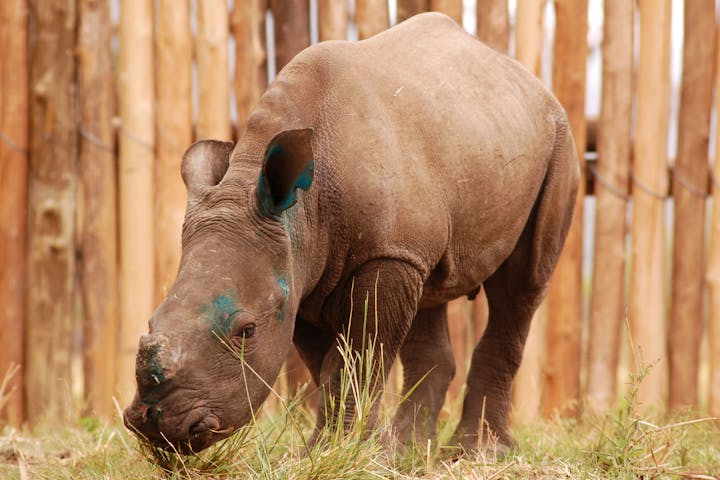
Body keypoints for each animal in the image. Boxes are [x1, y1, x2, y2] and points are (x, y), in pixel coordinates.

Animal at [124, 12, 580, 454]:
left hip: (559, 140)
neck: (302, 211)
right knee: (430, 291)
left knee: (522, 284)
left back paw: (478, 453)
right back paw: (405, 452)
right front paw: (337, 450)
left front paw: (340, 451)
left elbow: (358, 355)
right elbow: (327, 362)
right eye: (150, 320)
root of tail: (528, 79)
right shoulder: (297, 271)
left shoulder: (380, 254)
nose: (158, 427)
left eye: (246, 331)